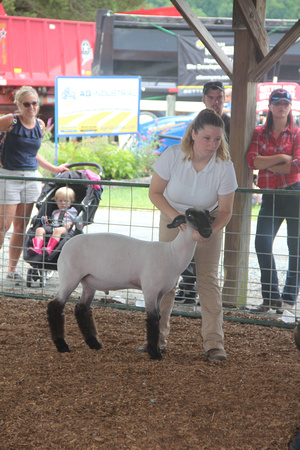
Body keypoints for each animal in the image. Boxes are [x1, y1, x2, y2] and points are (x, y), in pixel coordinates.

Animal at [47, 209, 213, 360]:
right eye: (190, 216)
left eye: (208, 215)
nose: (209, 231)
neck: (172, 254)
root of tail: (66, 246)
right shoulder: (150, 289)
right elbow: (152, 319)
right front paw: (155, 354)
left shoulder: (159, 293)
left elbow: (159, 317)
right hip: (70, 277)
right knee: (55, 306)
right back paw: (62, 345)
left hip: (89, 283)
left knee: (81, 309)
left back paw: (94, 343)